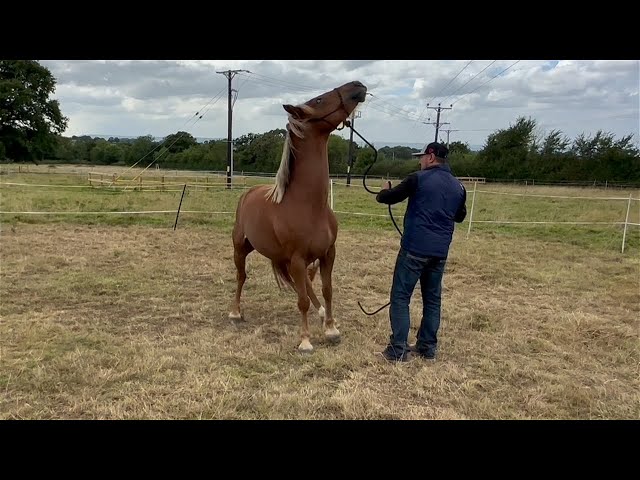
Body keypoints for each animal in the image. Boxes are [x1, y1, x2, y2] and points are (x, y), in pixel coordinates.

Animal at [229, 80, 368, 352]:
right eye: (318, 100)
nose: (357, 85)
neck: (308, 205)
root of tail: (248, 192)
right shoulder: (297, 258)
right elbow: (302, 300)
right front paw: (305, 341)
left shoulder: (327, 254)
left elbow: (326, 289)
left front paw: (331, 328)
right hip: (242, 248)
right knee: (242, 276)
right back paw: (236, 312)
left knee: (306, 285)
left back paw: (322, 313)